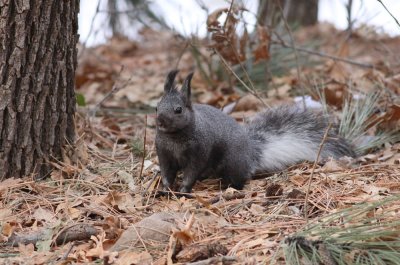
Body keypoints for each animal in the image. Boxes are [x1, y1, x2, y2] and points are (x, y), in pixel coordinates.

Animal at [155, 70, 354, 193]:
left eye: (178, 110)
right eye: (157, 107)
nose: (160, 121)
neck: (174, 138)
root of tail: (251, 152)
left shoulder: (198, 152)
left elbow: (191, 173)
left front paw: (183, 190)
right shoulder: (164, 154)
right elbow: (167, 172)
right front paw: (165, 189)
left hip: (232, 161)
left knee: (239, 178)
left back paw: (228, 188)